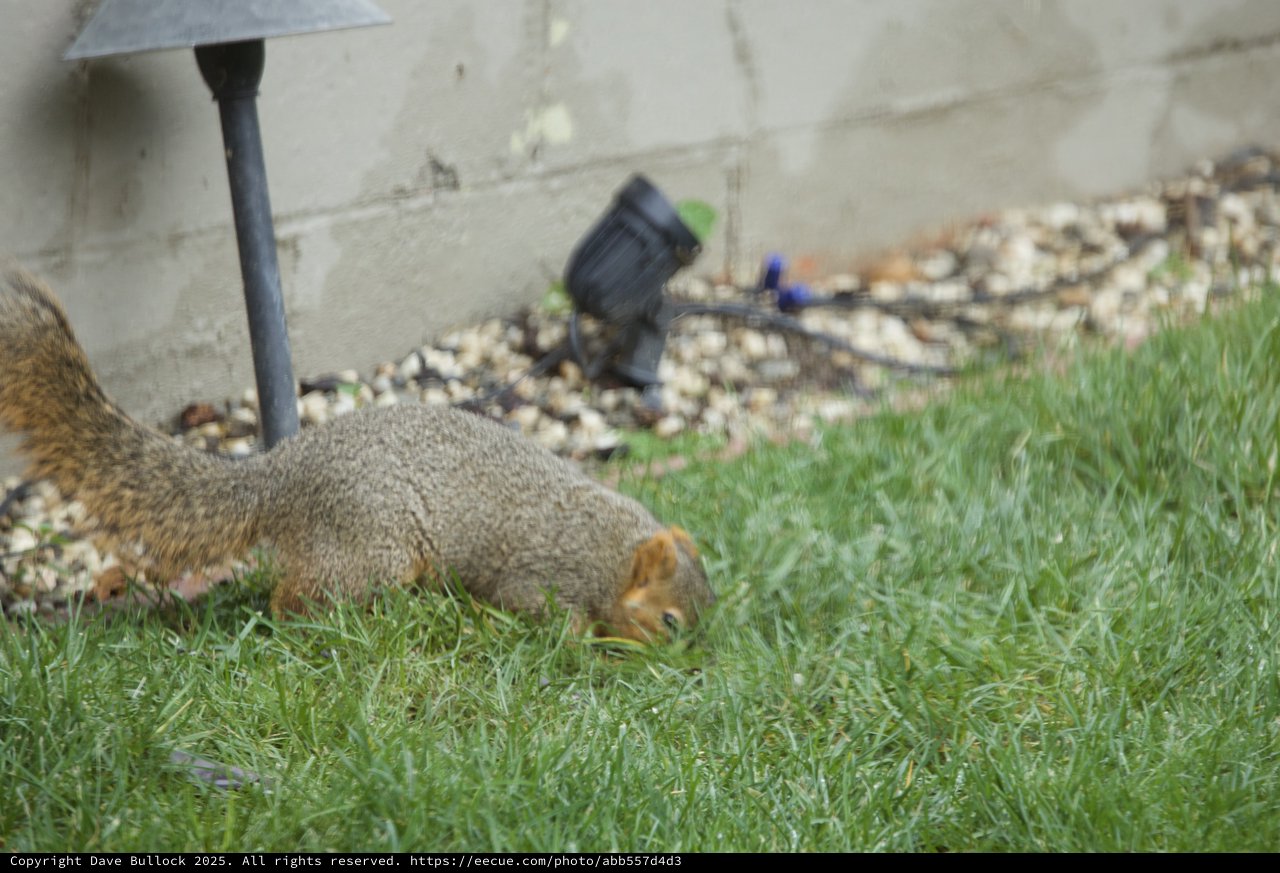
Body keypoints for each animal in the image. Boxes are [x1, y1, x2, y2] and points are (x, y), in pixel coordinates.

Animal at [0, 265, 714, 641]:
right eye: (670, 620)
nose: (691, 664)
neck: (613, 552)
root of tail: (282, 474)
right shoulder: (544, 578)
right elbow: (541, 614)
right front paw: (588, 647)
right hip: (371, 545)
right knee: (295, 596)